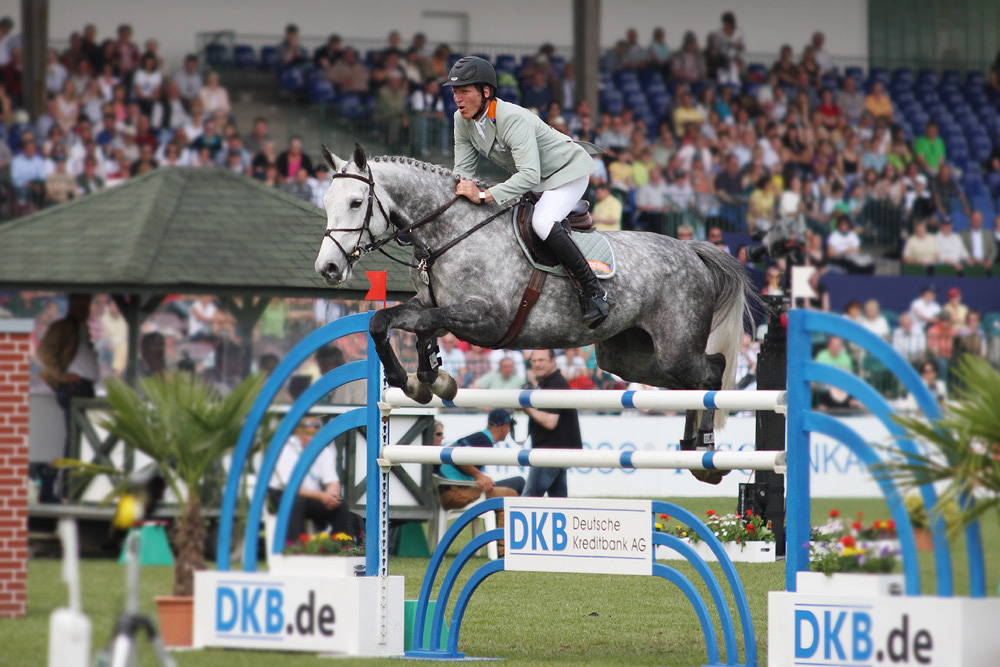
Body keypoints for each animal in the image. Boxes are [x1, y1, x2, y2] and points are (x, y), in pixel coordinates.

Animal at [312, 144, 756, 478]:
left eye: (356, 202)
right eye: (326, 202)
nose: (328, 268)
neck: (450, 234)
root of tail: (692, 250)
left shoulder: (486, 319)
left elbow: (425, 326)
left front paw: (426, 378)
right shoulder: (431, 304)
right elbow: (384, 321)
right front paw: (420, 380)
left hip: (675, 348)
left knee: (712, 371)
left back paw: (705, 452)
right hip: (629, 359)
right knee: (690, 383)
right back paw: (690, 449)